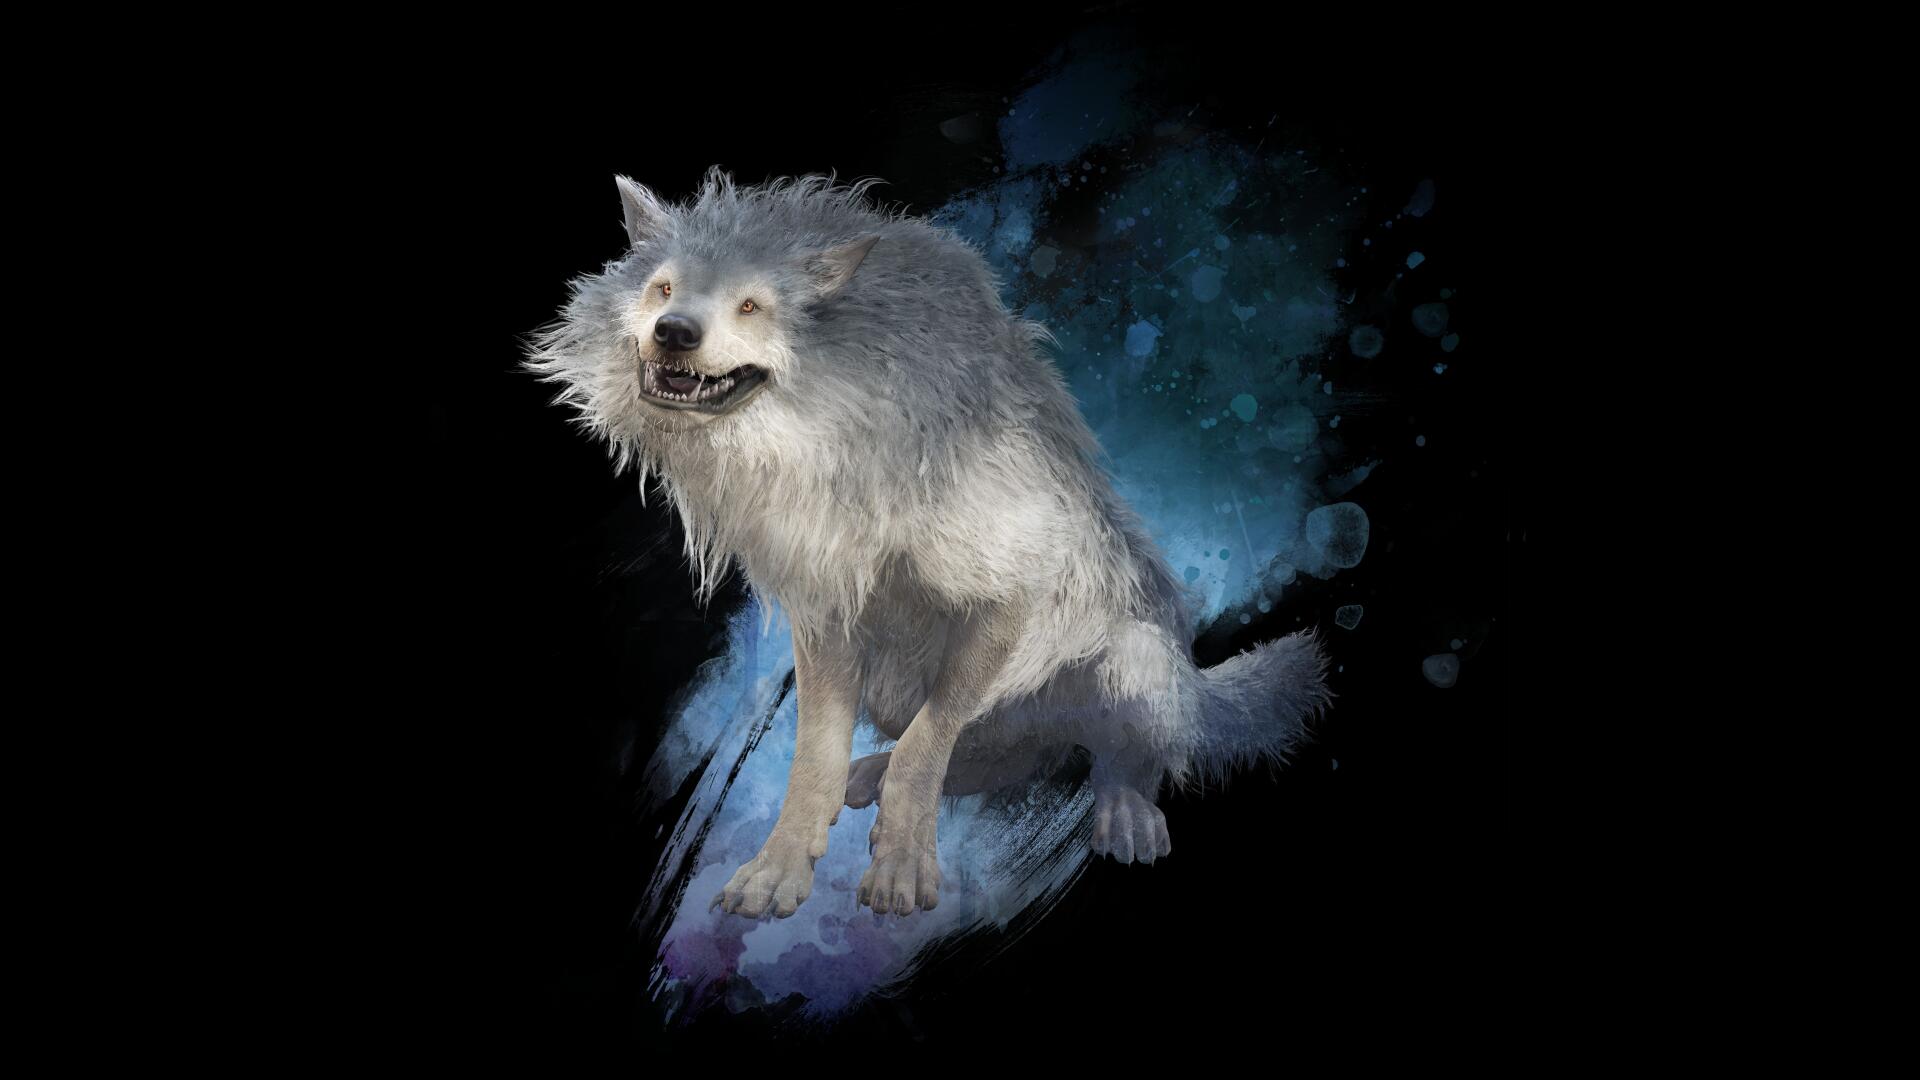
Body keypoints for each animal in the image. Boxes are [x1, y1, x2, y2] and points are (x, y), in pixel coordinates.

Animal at [523, 168, 1332, 919]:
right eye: (662, 289)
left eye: (751, 305)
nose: (675, 332)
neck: (834, 425)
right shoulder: (828, 612)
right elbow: (817, 756)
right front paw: (779, 869)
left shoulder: (1010, 592)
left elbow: (927, 744)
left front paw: (904, 866)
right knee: (990, 763)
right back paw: (870, 776)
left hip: (1132, 663)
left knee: (1115, 754)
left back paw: (1124, 812)